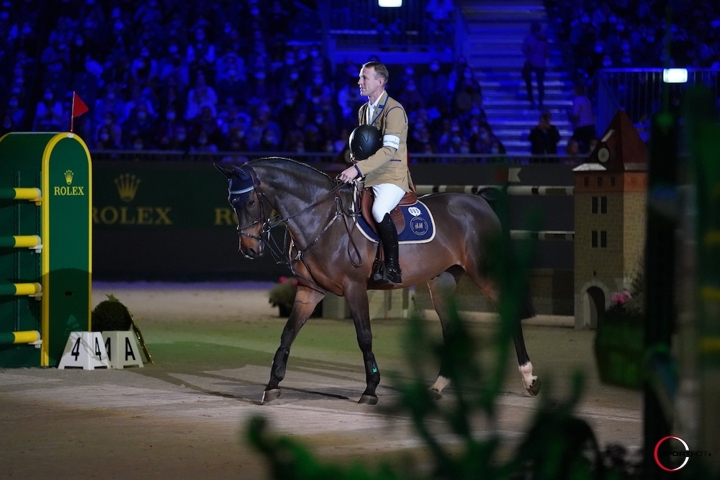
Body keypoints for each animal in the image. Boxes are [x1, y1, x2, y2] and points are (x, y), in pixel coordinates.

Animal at [214, 158, 540, 404]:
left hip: (486, 272)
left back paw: (529, 379)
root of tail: (479, 201)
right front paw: (272, 385)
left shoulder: (354, 287)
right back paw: (438, 387)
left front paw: (370, 389)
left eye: (251, 200)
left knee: (509, 314)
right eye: (232, 202)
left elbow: (364, 336)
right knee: (451, 328)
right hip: (442, 281)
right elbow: (288, 334)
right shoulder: (310, 291)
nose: (249, 249)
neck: (322, 218)